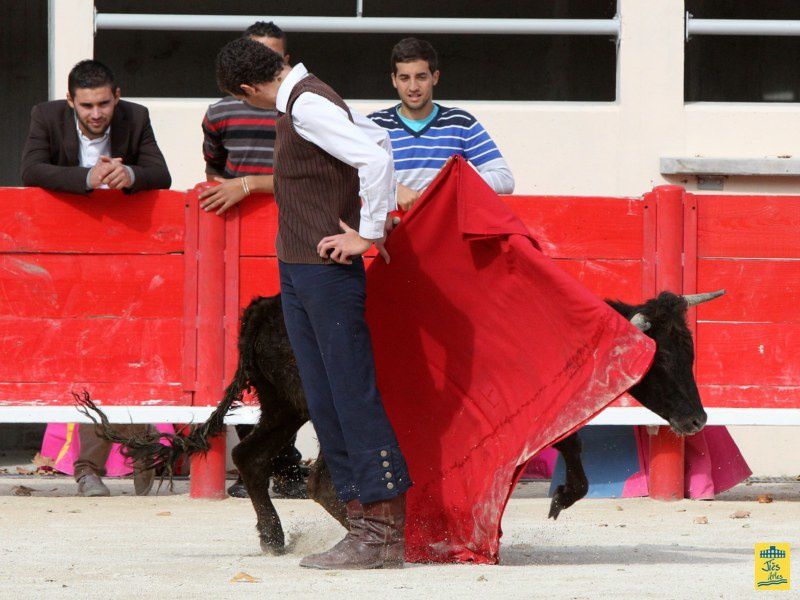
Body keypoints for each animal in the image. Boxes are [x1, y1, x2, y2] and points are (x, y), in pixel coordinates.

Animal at [79, 288, 724, 552]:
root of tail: (262, 307)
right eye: (662, 358)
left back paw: (275, 537)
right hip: (317, 407)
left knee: (252, 458)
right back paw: (390, 539)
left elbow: (567, 444)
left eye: (691, 351)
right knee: (315, 476)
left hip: (285, 406)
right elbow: (560, 443)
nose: (696, 420)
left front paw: (562, 496)